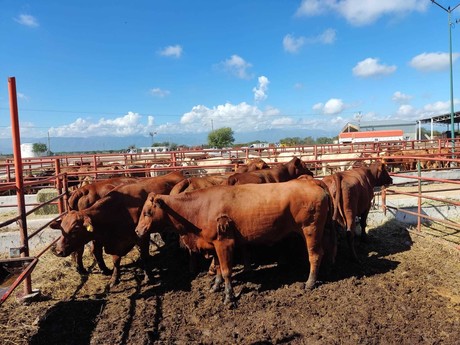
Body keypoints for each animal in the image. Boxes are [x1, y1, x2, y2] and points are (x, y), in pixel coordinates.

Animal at [50, 169, 185, 284]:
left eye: (75, 229)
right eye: (61, 228)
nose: (58, 251)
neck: (121, 208)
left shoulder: (142, 236)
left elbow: (144, 256)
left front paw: (149, 277)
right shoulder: (115, 241)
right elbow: (116, 260)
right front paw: (114, 279)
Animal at [133, 179, 334, 306]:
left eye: (147, 212)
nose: (137, 231)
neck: (199, 207)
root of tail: (312, 182)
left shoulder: (225, 243)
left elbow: (226, 271)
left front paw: (229, 296)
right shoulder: (213, 244)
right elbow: (218, 269)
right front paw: (215, 286)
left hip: (310, 230)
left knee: (315, 255)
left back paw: (309, 282)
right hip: (321, 230)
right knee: (326, 250)